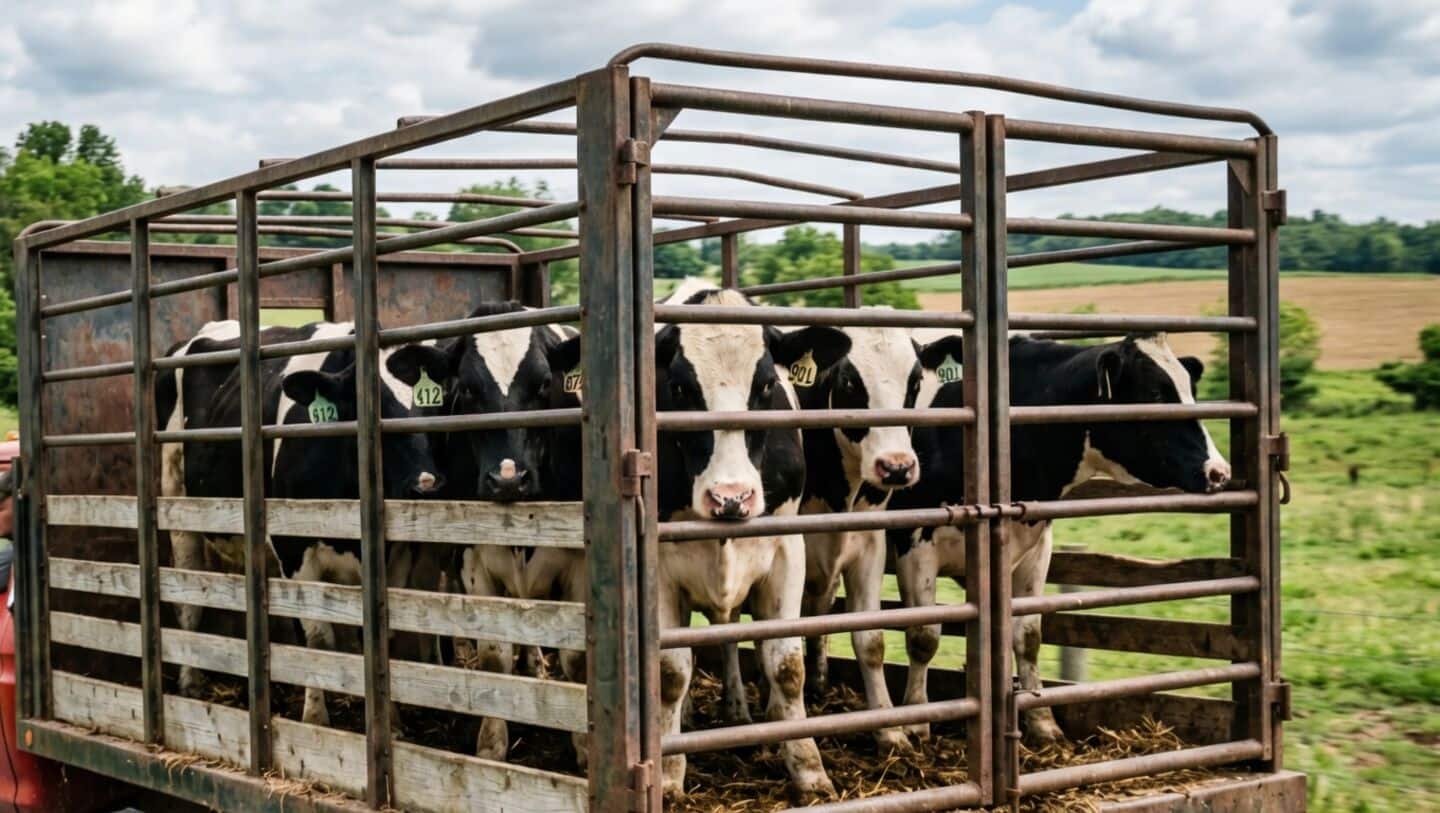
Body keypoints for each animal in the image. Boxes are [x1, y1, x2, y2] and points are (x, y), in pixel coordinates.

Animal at [156, 319, 450, 725]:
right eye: (371, 407)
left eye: (433, 406)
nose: (427, 485)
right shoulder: (294, 549)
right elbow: (316, 636)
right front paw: (314, 718)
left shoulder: (397, 554)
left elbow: (382, 637)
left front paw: (389, 717)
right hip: (178, 510)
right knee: (188, 605)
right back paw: (190, 684)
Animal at [548, 286, 851, 802]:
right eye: (679, 388)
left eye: (765, 386)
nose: (731, 497)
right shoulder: (661, 567)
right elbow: (671, 672)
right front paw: (669, 774)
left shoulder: (786, 547)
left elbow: (786, 665)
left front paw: (809, 770)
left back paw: (742, 712)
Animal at [888, 333, 1232, 743]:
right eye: (1155, 394)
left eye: (1190, 390)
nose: (1218, 472)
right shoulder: (913, 543)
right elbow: (923, 637)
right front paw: (915, 722)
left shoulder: (1034, 545)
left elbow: (1027, 637)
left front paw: (1043, 722)